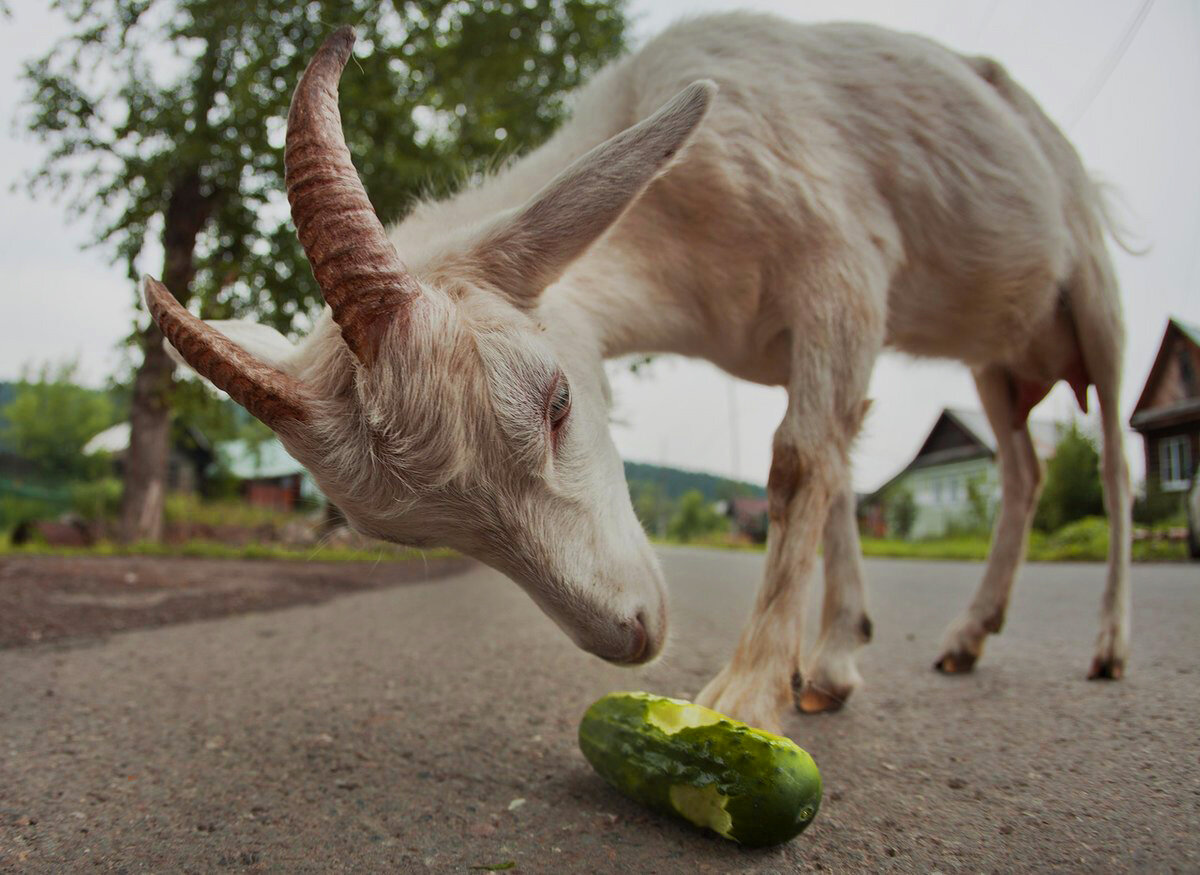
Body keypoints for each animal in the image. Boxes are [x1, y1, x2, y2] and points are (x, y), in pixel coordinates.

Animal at [145, 17, 1128, 734]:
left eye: (557, 402)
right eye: (416, 531)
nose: (631, 636)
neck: (688, 223)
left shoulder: (843, 273)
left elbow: (802, 464)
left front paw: (748, 692)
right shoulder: (799, 338)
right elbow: (840, 473)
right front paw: (833, 662)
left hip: (1093, 295)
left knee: (1114, 454)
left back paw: (1109, 649)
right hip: (1002, 357)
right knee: (1024, 465)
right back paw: (968, 635)